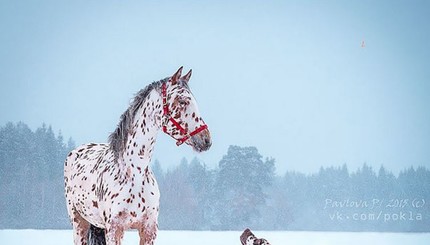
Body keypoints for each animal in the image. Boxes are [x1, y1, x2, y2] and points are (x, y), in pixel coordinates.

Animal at [64, 67, 212, 245]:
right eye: (182, 101)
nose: (206, 139)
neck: (134, 173)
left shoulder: (149, 229)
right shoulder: (114, 230)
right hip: (79, 223)